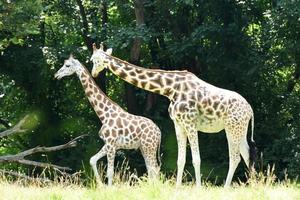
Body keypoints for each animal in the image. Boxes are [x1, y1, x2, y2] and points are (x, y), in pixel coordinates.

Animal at [90, 43, 256, 186]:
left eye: (93, 60)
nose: (94, 73)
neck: (169, 89)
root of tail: (250, 110)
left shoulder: (190, 123)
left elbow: (196, 159)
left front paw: (198, 188)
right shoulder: (178, 124)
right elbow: (180, 159)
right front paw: (177, 187)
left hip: (232, 128)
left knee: (235, 157)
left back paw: (226, 188)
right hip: (239, 129)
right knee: (247, 154)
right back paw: (253, 185)